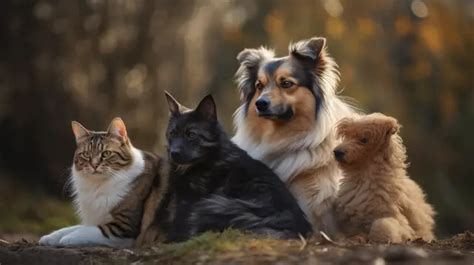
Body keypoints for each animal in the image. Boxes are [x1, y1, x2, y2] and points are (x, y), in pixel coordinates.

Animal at [39, 117, 161, 245]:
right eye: (86, 154)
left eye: (106, 153)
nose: (94, 165)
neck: (98, 185)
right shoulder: (97, 219)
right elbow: (71, 228)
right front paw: (49, 237)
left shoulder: (123, 226)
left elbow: (87, 231)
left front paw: (66, 239)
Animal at [332, 112, 436, 242]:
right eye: (346, 136)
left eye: (364, 140)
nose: (337, 152)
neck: (364, 177)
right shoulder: (351, 220)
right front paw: (357, 237)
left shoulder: (398, 221)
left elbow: (381, 225)